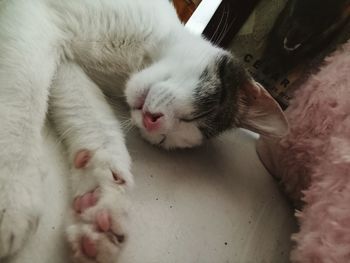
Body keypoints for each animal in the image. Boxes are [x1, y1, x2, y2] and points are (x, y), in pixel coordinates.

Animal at [0, 1, 288, 262]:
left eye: (163, 139)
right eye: (195, 115)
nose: (152, 121)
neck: (133, 61)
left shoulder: (66, 59)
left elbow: (95, 118)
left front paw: (103, 199)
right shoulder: (34, 17)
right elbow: (23, 92)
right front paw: (12, 194)